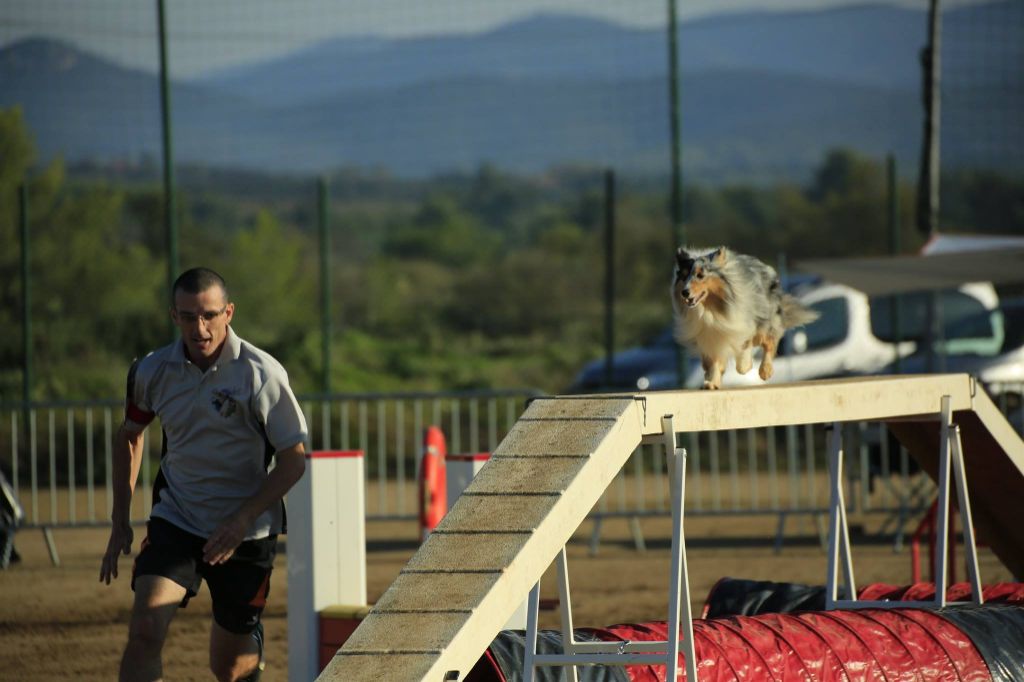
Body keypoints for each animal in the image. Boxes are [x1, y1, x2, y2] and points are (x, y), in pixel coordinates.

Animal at [667, 246, 819, 391]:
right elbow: (714, 362)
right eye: (684, 276)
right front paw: (712, 383)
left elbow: (744, 352)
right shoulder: (713, 336)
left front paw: (746, 365)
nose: (684, 292)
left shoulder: (739, 324)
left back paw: (765, 371)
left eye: (700, 275)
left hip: (763, 319)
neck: (709, 309)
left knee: (769, 341)